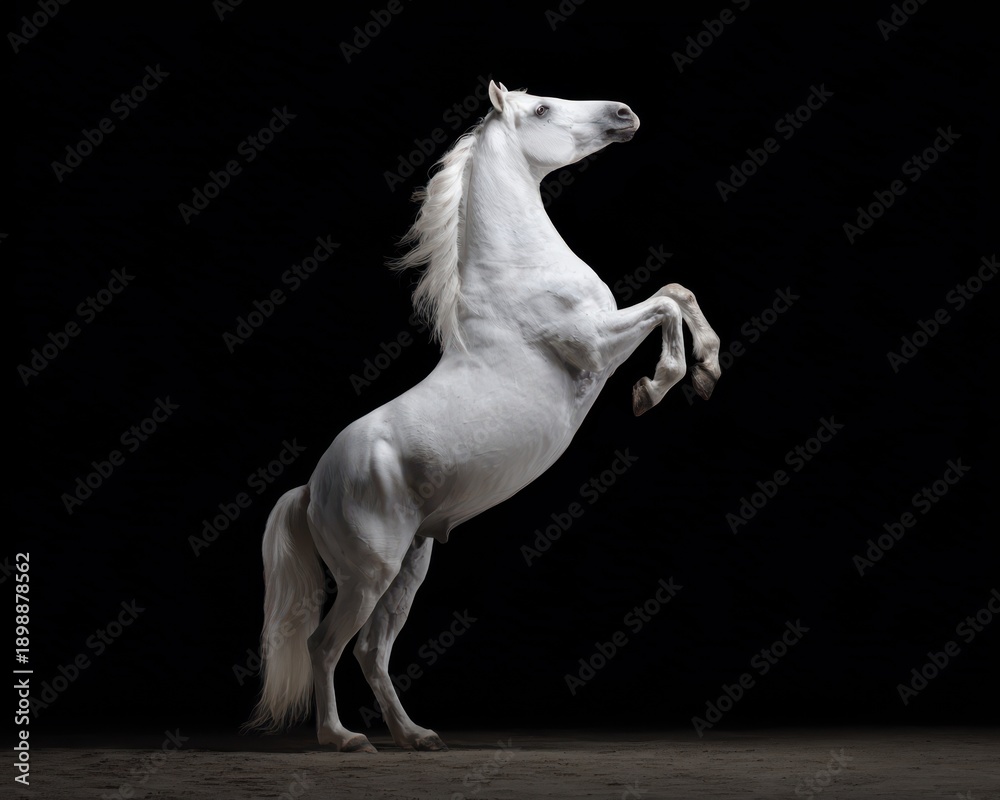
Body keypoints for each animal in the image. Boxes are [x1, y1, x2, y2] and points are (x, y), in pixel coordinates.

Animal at [246, 81, 722, 752]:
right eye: (543, 108)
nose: (625, 114)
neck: (517, 275)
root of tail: (312, 488)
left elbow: (678, 293)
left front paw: (707, 370)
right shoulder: (596, 347)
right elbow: (665, 306)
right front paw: (658, 387)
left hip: (410, 566)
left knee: (371, 651)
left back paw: (416, 736)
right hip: (369, 572)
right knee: (325, 645)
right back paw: (343, 739)